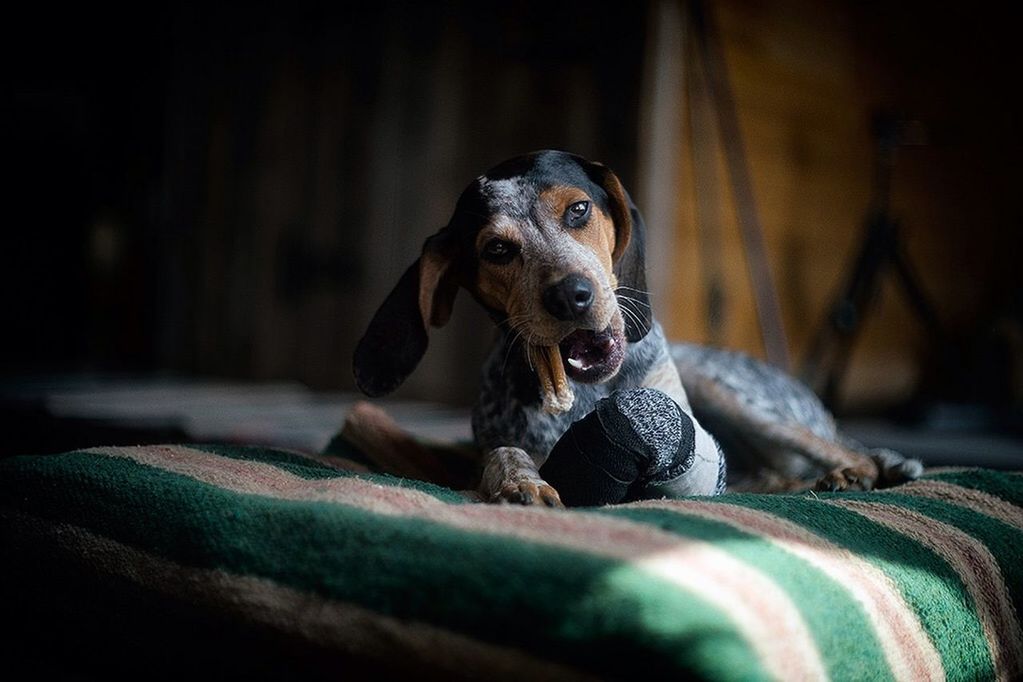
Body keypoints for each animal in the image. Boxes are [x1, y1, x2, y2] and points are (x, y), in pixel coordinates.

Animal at [349, 149, 920, 507]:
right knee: (776, 476)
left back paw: (863, 468)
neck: (585, 393)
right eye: (497, 249)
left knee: (838, 448)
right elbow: (504, 454)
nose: (571, 295)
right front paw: (520, 483)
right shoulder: (490, 444)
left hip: (739, 397)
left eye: (579, 209)